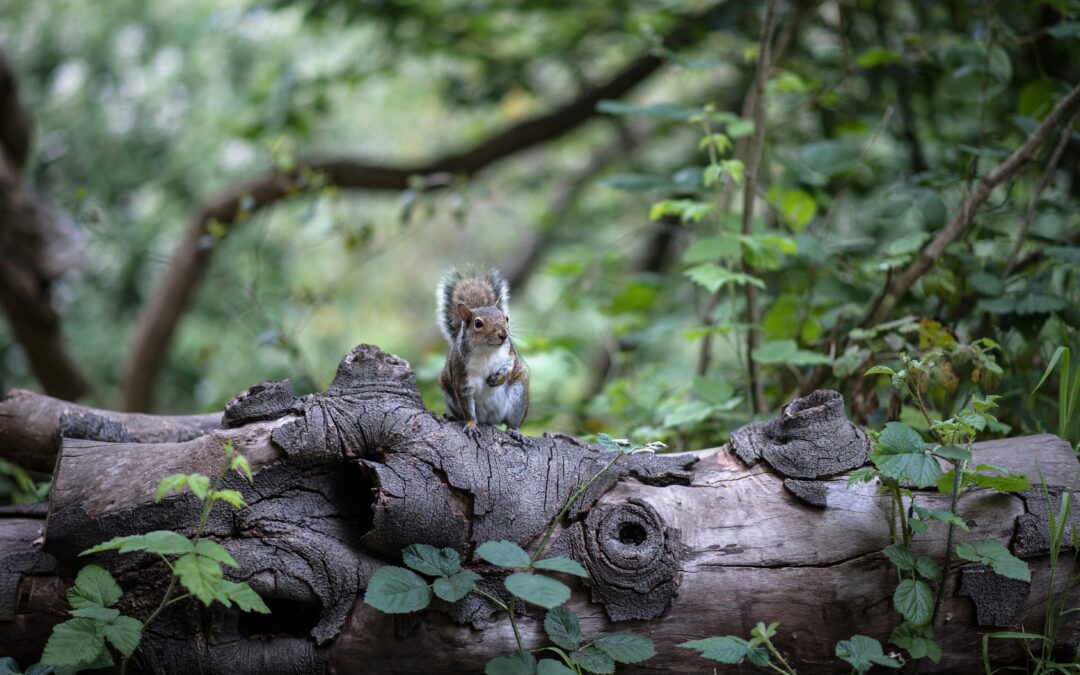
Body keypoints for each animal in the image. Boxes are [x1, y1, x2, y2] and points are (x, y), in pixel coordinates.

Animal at [436, 268, 529, 441]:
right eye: (478, 323)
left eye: (506, 318)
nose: (504, 334)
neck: (487, 350)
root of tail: (490, 419)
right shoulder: (462, 378)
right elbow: (467, 409)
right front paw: (472, 425)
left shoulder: (509, 353)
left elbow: (511, 364)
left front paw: (499, 378)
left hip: (519, 397)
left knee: (513, 422)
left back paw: (515, 431)